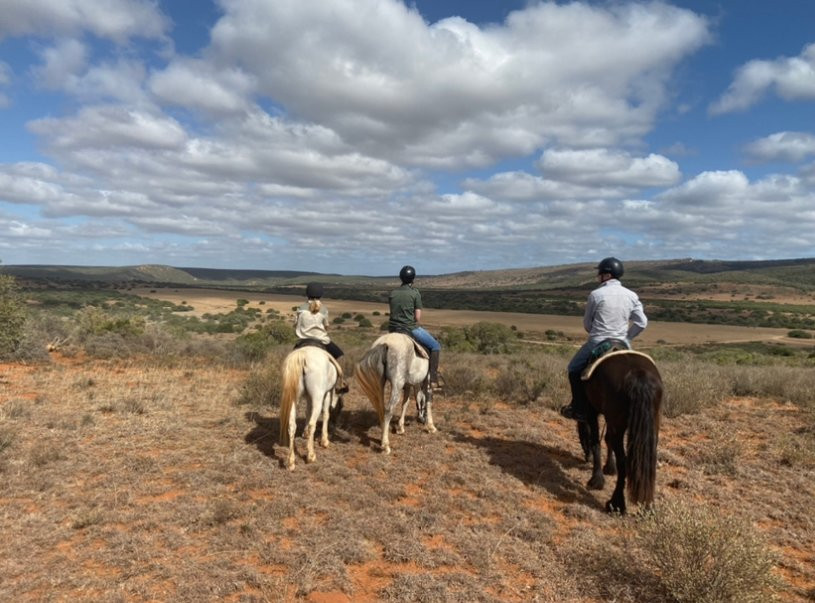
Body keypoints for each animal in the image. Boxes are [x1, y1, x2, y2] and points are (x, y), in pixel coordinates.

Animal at [577, 350, 662, 514]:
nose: (586, 457)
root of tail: (638, 374)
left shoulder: (592, 410)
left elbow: (596, 441)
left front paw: (597, 479)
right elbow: (607, 440)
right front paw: (609, 468)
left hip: (618, 425)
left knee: (624, 461)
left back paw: (615, 503)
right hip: (652, 424)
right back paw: (647, 506)